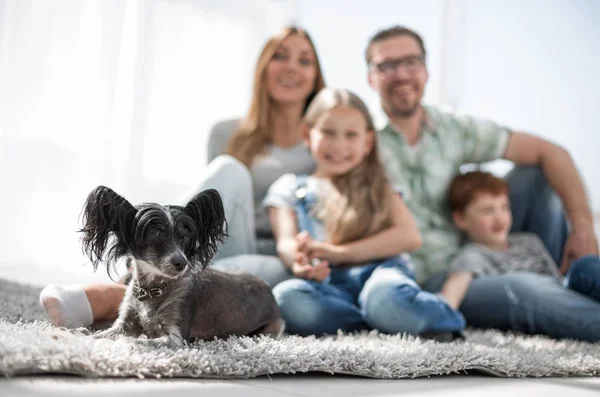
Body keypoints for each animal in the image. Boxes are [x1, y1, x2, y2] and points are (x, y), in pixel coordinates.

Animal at [80, 186, 286, 346]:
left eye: (185, 236)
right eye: (155, 234)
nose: (182, 263)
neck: (152, 289)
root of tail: (269, 289)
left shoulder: (175, 336)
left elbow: (139, 341)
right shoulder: (124, 323)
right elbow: (102, 334)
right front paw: (80, 337)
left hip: (273, 327)